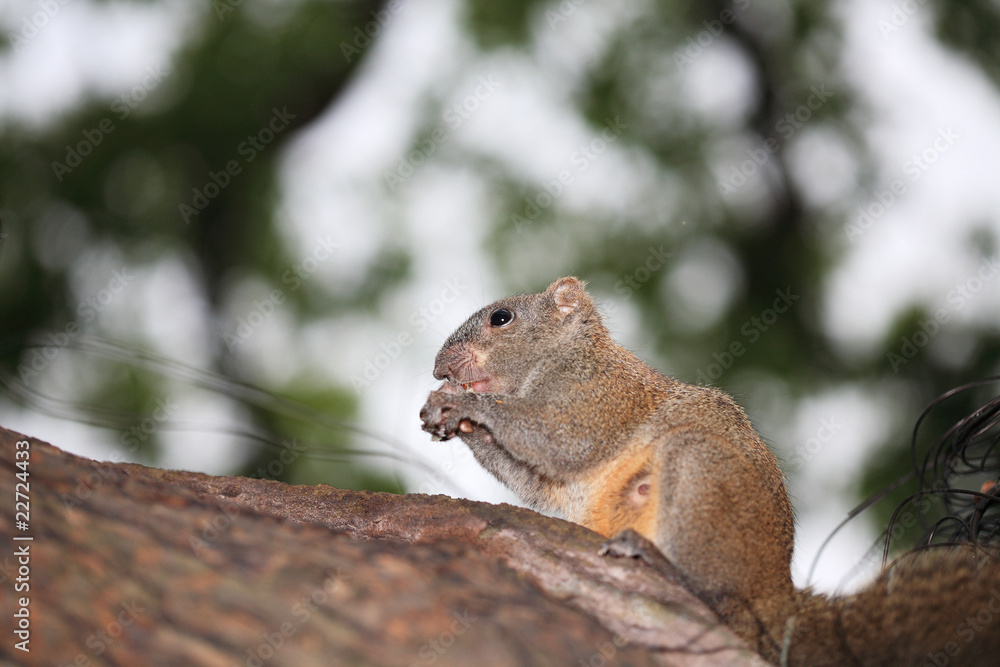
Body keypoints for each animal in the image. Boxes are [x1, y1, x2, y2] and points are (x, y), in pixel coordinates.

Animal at [420, 276, 1000, 664]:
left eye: (502, 318)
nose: (439, 369)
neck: (560, 358)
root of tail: (775, 596)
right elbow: (541, 480)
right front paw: (446, 416)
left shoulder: (597, 397)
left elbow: (563, 444)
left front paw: (466, 407)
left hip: (701, 474)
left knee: (713, 595)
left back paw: (657, 562)